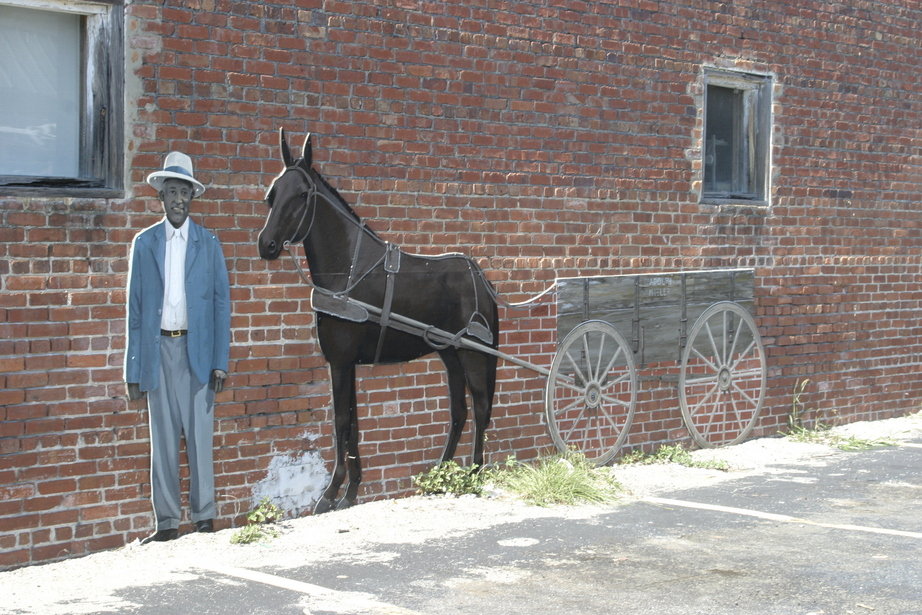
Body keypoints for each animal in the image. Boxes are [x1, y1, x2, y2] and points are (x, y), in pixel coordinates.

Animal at [255, 131, 500, 516]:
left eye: (302, 194)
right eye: (272, 193)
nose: (266, 245)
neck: (347, 272)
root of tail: (481, 280)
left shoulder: (340, 362)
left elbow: (340, 422)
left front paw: (328, 495)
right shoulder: (346, 362)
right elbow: (353, 423)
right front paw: (350, 492)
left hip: (473, 355)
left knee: (480, 406)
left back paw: (474, 472)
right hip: (450, 354)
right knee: (459, 411)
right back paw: (440, 473)